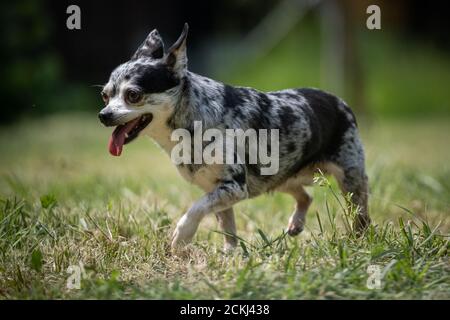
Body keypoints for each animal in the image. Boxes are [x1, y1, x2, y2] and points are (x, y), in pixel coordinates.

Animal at [98, 23, 370, 251]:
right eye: (105, 96)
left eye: (133, 95)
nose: (104, 115)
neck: (192, 121)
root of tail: (340, 102)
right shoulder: (218, 190)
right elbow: (227, 227)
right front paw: (231, 256)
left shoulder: (234, 187)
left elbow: (195, 208)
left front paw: (182, 237)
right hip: (279, 176)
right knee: (306, 195)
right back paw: (296, 223)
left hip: (350, 180)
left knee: (360, 215)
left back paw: (359, 240)